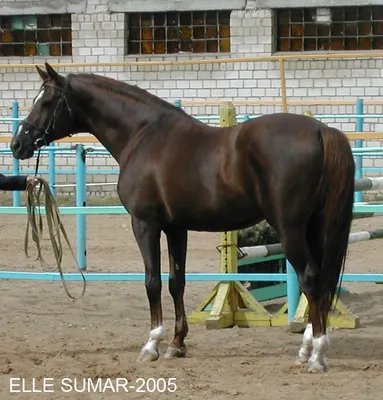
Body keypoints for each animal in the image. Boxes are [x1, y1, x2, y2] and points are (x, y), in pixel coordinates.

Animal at [10, 62, 356, 372]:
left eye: (46, 101)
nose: (17, 144)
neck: (144, 135)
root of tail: (322, 130)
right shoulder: (176, 228)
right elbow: (177, 282)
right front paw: (177, 344)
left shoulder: (145, 224)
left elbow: (151, 282)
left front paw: (152, 345)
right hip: (312, 228)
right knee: (318, 280)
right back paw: (307, 349)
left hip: (290, 228)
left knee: (310, 277)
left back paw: (316, 356)